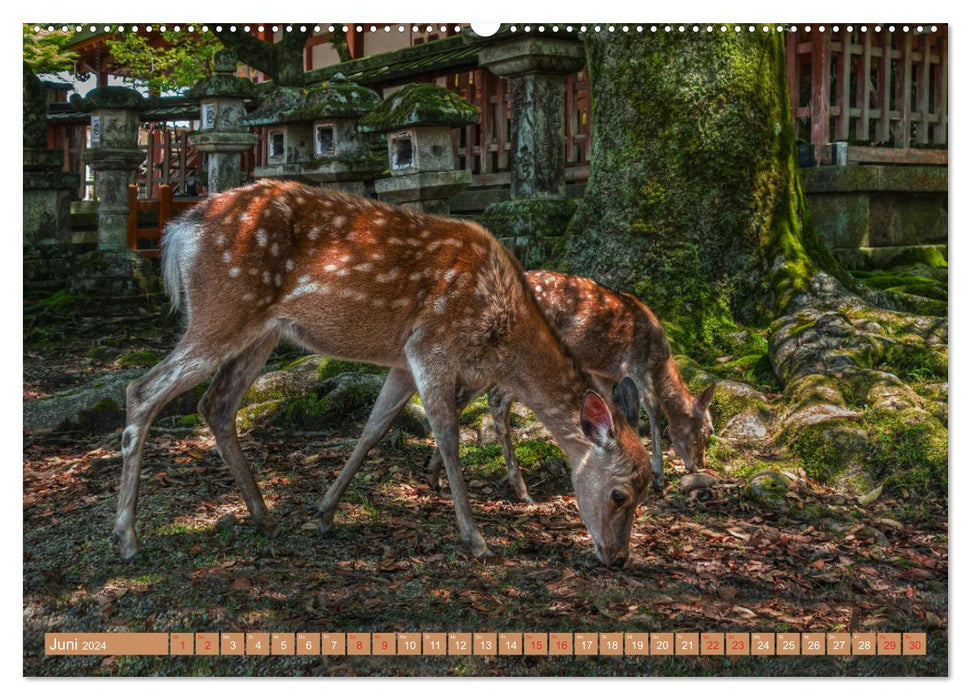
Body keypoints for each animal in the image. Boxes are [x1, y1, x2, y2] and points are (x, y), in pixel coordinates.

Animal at [117, 182, 656, 568]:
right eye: (619, 494)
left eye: (644, 493)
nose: (618, 559)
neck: (501, 334)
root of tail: (179, 230)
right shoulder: (432, 345)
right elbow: (447, 436)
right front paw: (476, 539)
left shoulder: (401, 360)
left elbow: (374, 428)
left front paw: (324, 512)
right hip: (221, 310)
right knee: (142, 390)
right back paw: (127, 537)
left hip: (261, 331)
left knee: (217, 403)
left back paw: (265, 516)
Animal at [430, 270, 716, 500]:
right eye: (709, 430)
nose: (698, 464)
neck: (660, 359)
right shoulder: (636, 363)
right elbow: (654, 410)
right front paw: (658, 476)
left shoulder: (603, 372)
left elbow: (609, 409)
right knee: (495, 399)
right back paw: (522, 490)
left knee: (458, 395)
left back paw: (435, 475)